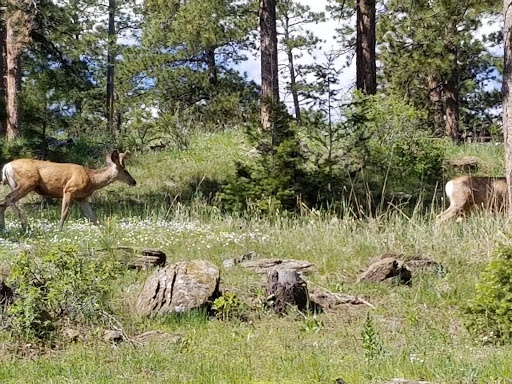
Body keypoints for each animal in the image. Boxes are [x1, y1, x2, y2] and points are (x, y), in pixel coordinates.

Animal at [0, 150, 136, 231]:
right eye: (125, 170)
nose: (134, 181)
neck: (92, 179)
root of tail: (6, 166)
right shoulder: (69, 189)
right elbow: (64, 213)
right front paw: (59, 229)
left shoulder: (82, 198)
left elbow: (93, 217)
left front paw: (102, 231)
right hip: (28, 182)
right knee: (8, 198)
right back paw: (24, 224)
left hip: (16, 184)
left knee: (3, 203)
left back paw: (5, 228)